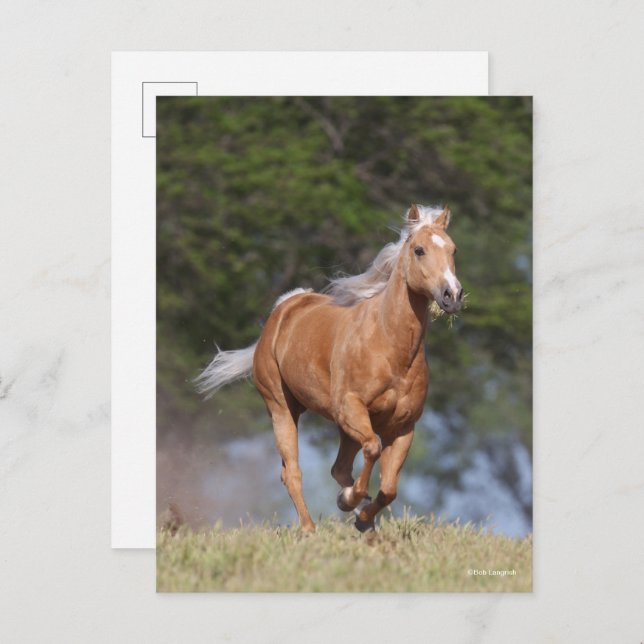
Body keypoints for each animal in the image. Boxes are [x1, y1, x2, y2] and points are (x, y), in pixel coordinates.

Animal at [196, 204, 463, 533]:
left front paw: (362, 517)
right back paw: (310, 528)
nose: (452, 295)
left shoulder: (403, 427)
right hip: (281, 408)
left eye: (453, 249)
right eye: (419, 250)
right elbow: (372, 449)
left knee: (339, 469)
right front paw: (349, 501)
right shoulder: (350, 408)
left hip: (342, 427)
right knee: (292, 471)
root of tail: (285, 307)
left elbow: (388, 489)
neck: (391, 348)